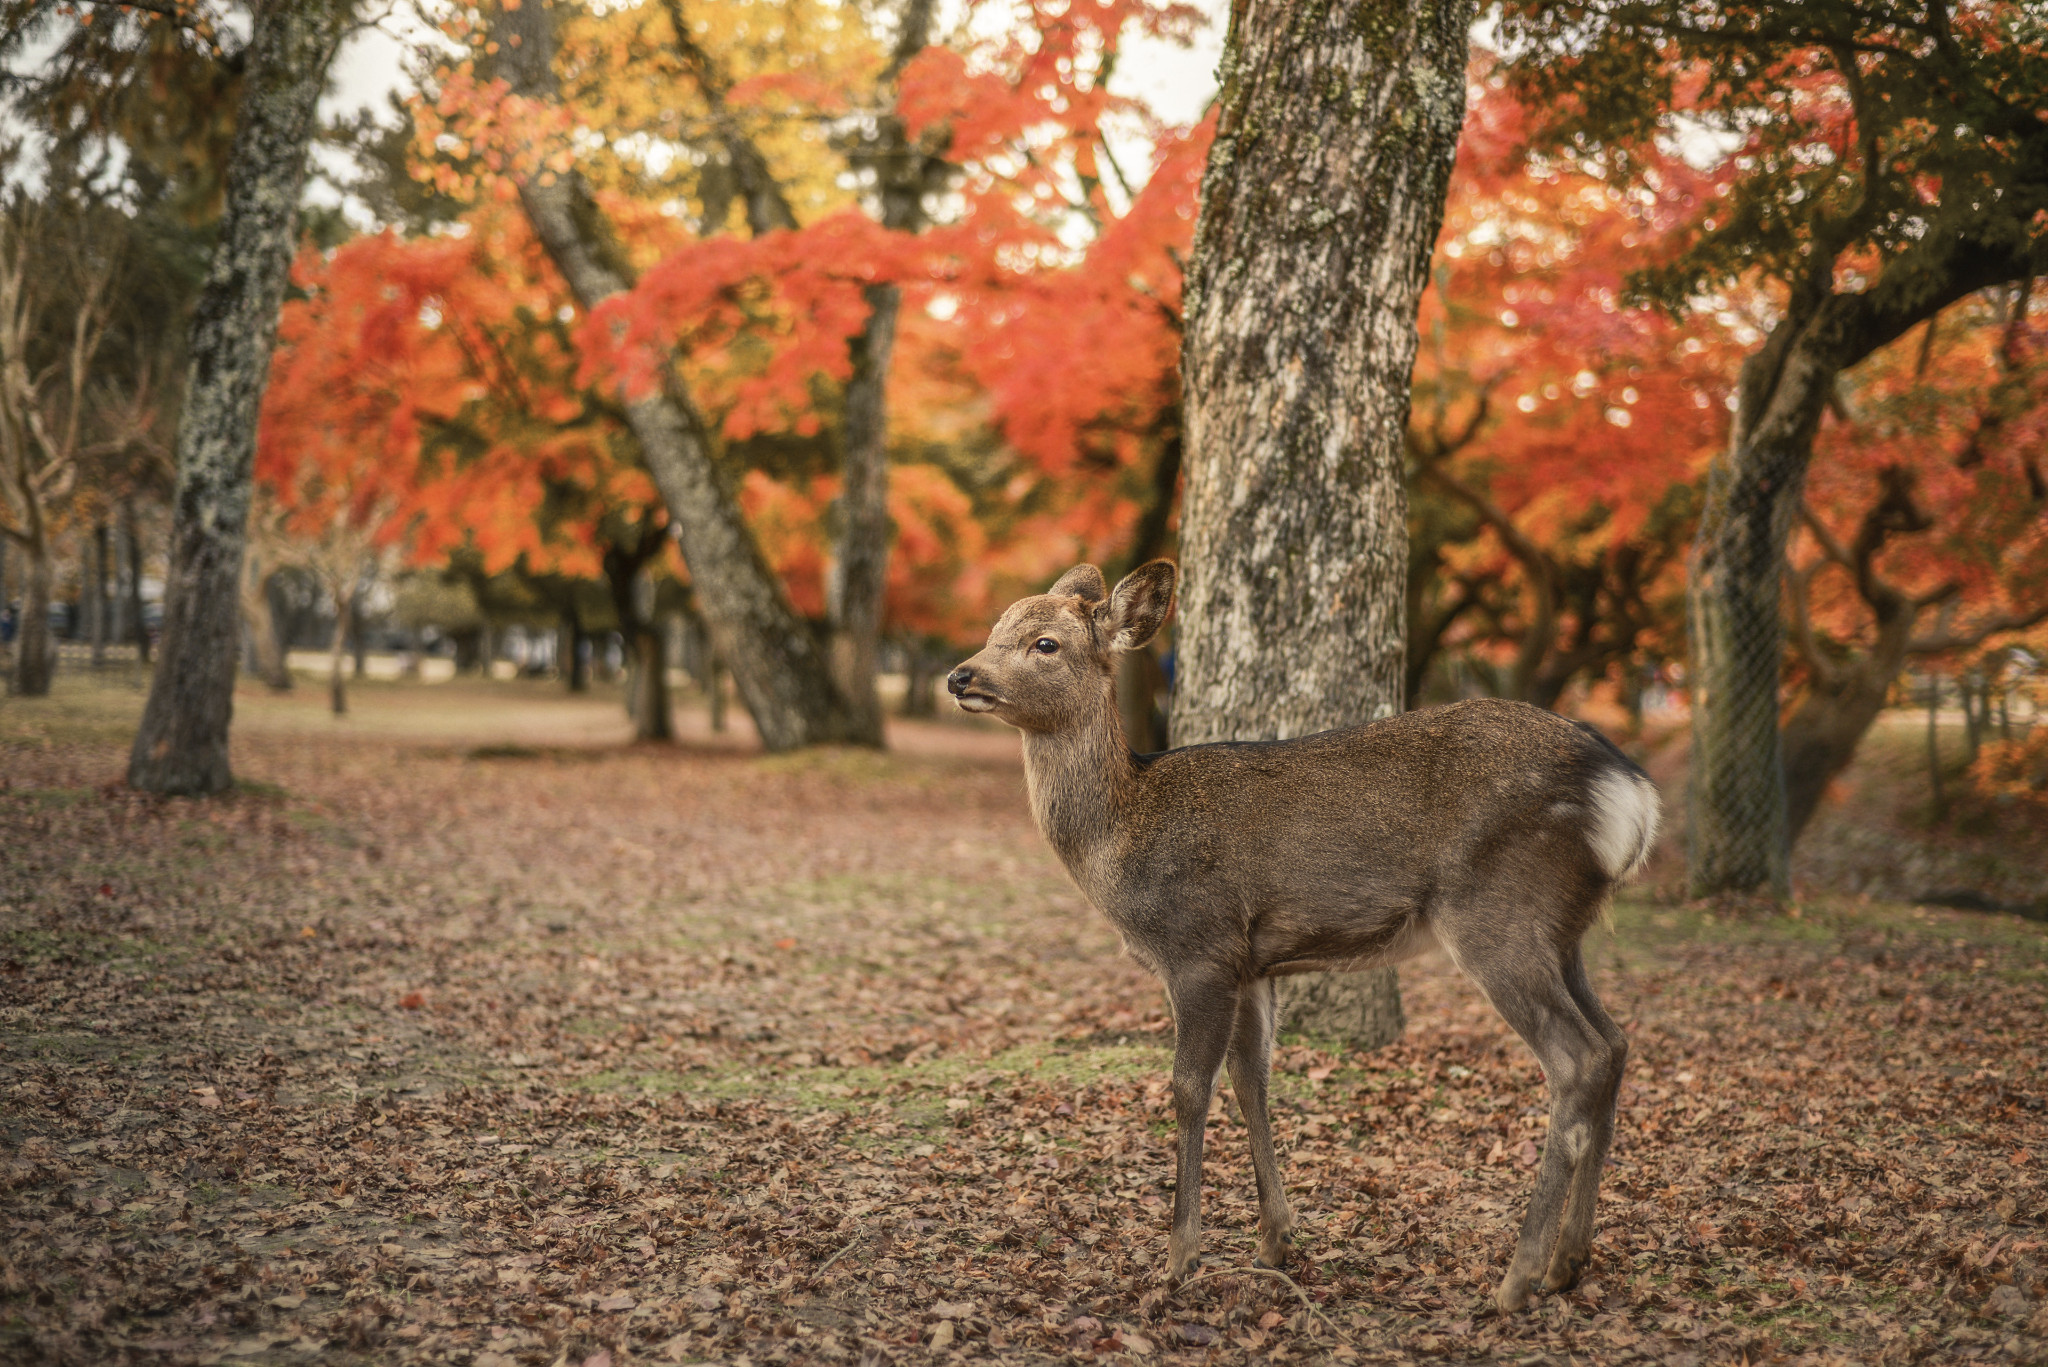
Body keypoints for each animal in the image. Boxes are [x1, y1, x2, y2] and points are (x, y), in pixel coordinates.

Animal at [946, 557, 1662, 1311]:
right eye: (995, 627)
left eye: (1046, 643)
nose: (961, 675)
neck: (1122, 840)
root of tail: (1632, 793)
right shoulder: (1253, 964)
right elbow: (1251, 1079)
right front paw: (1277, 1240)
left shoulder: (1199, 946)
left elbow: (1188, 1087)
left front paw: (1178, 1260)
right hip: (1563, 930)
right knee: (1615, 1043)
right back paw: (1568, 1262)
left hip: (1498, 914)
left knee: (1576, 1058)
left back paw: (1518, 1277)